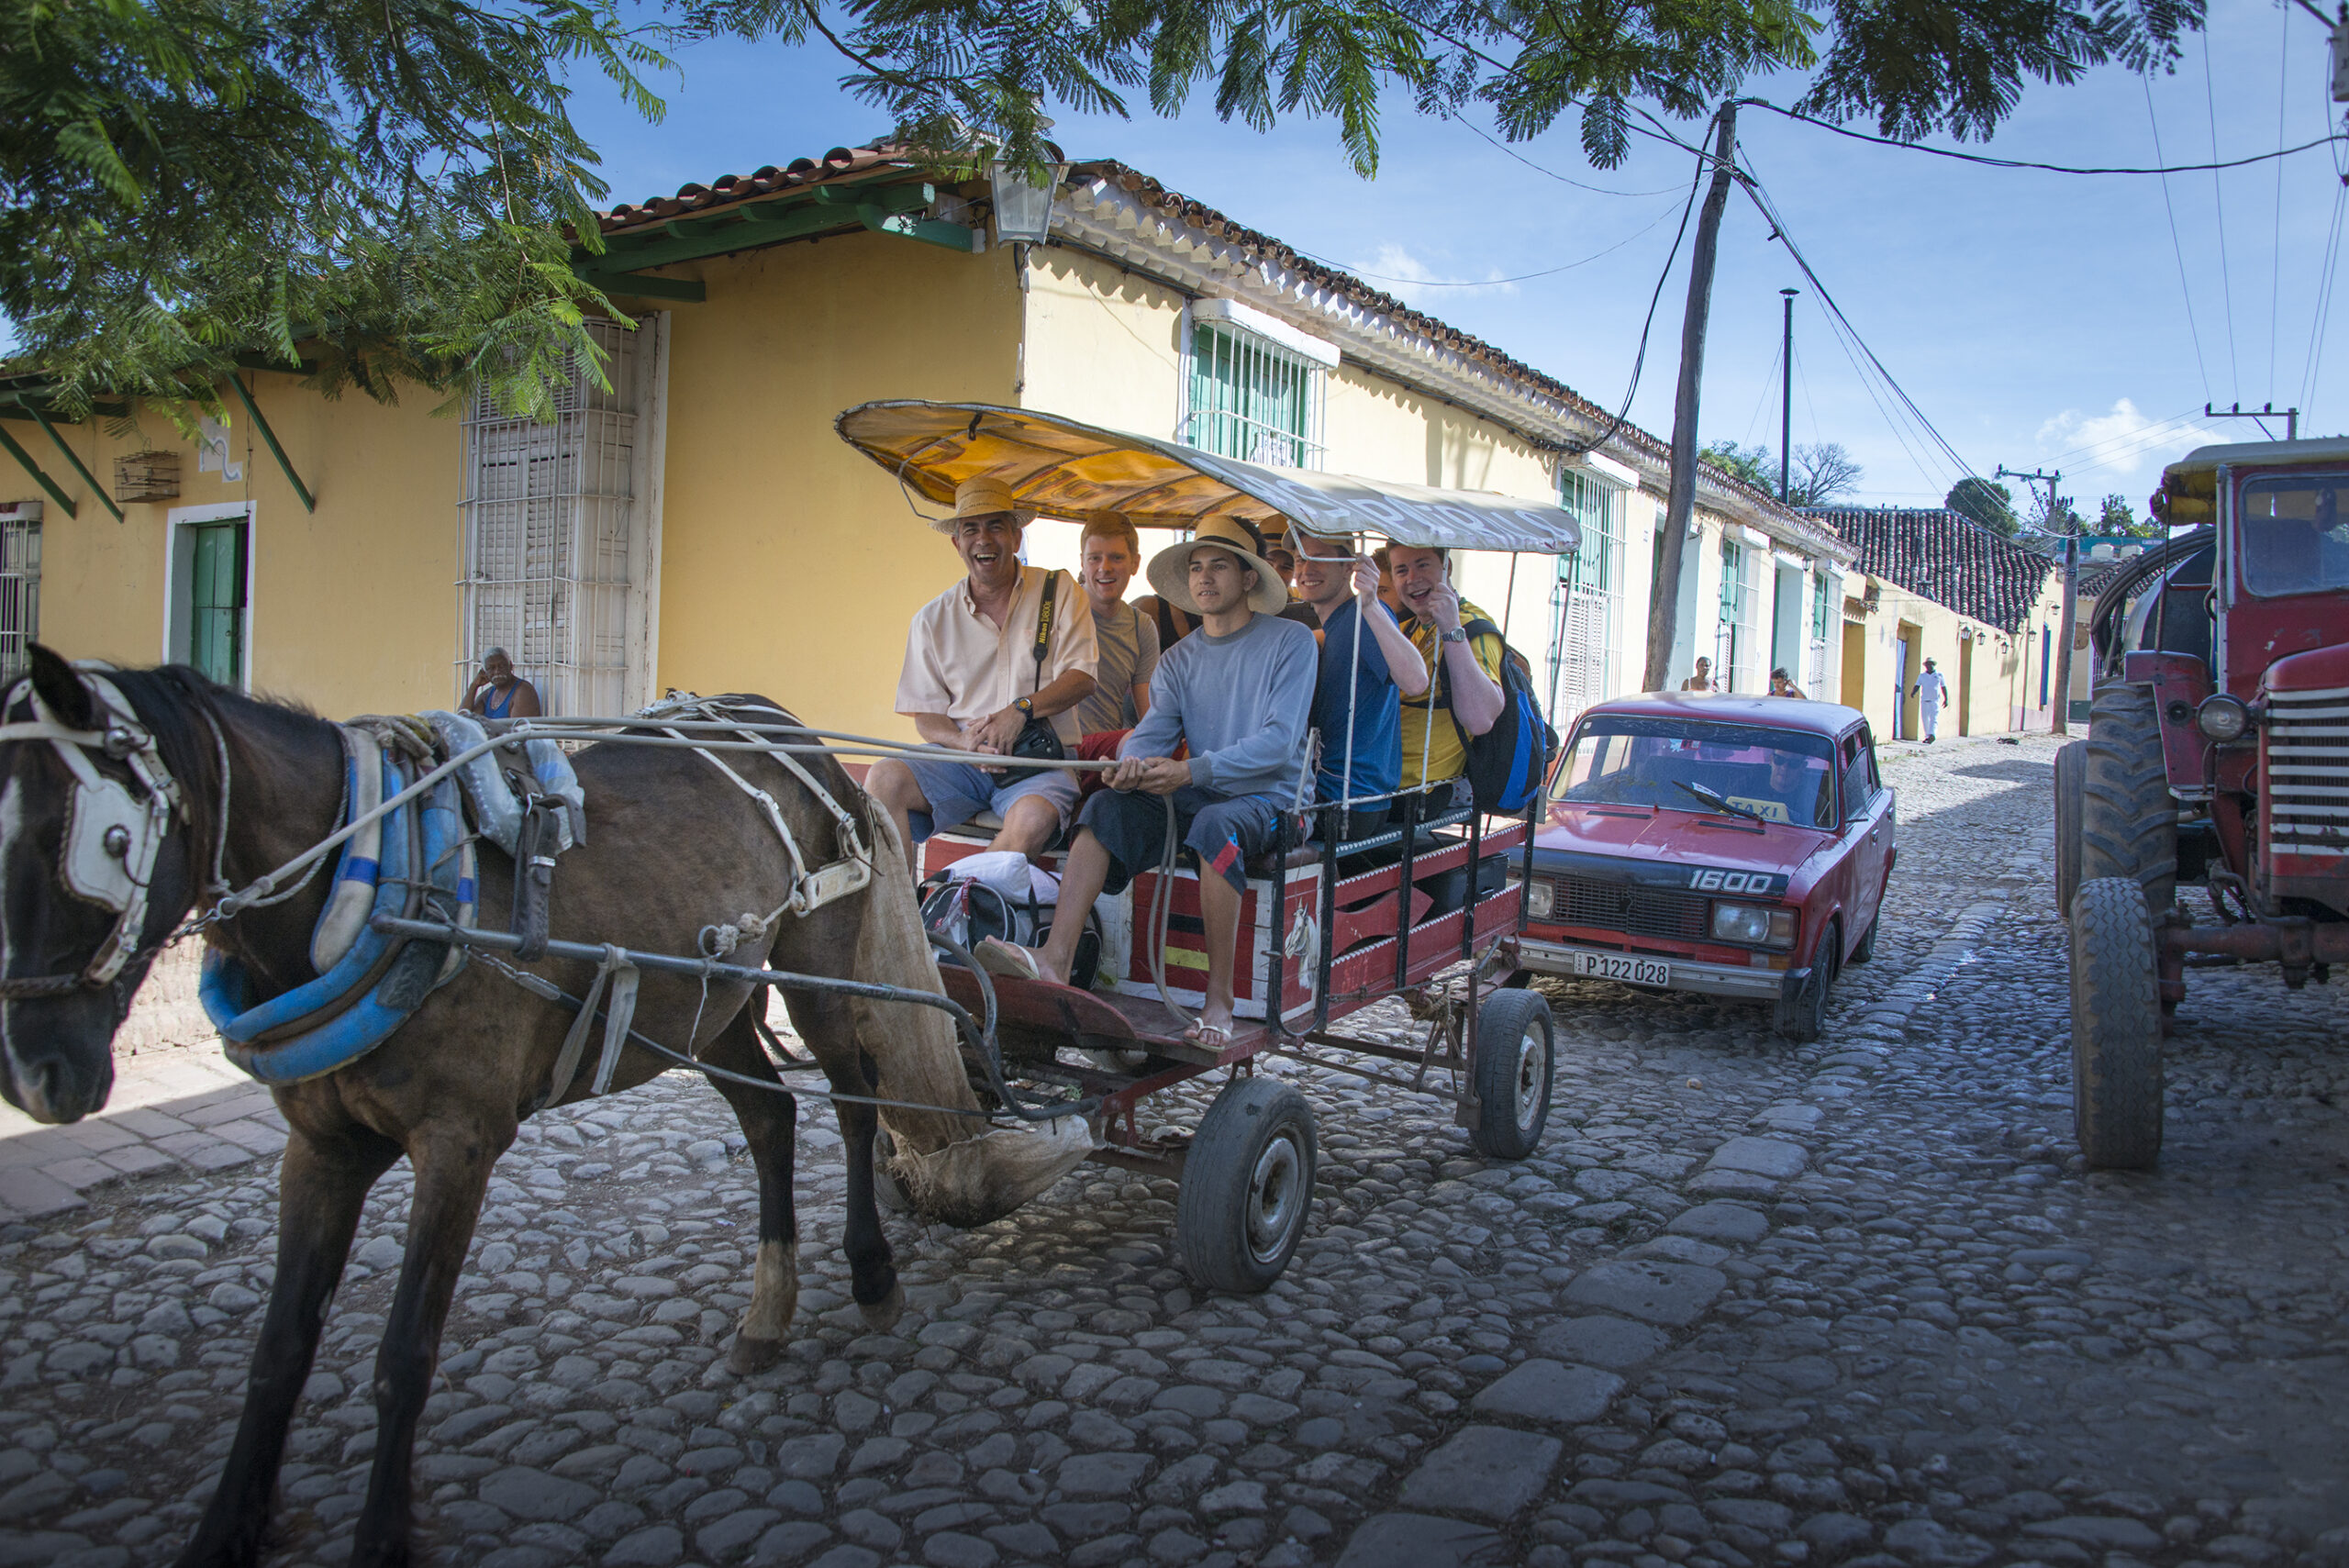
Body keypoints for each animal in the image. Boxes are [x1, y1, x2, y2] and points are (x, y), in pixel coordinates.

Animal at [0, 642, 1085, 1558]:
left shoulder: (459, 1142)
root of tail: (782, 723)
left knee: (854, 1105)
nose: (41, 1072)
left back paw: (869, 1273)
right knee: (771, 1118)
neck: (378, 876)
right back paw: (765, 1313)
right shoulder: (319, 1146)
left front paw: (382, 1533)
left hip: (816, 965)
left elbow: (405, 1353)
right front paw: (228, 1524)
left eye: (103, 837)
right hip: (708, 998)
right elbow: (278, 1350)